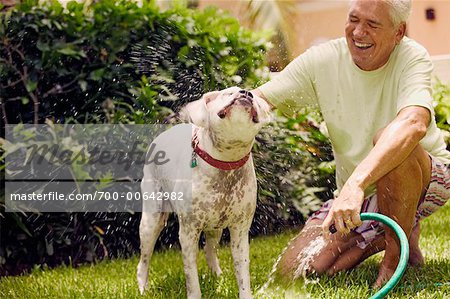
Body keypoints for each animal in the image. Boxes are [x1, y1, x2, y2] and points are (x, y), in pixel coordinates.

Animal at [136, 85, 270, 298]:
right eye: (227, 93)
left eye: (255, 97)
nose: (246, 92)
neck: (226, 162)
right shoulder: (188, 233)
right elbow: (191, 277)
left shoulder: (240, 232)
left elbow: (243, 274)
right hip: (151, 222)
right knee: (144, 260)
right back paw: (143, 288)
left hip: (215, 227)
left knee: (209, 250)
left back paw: (217, 277)